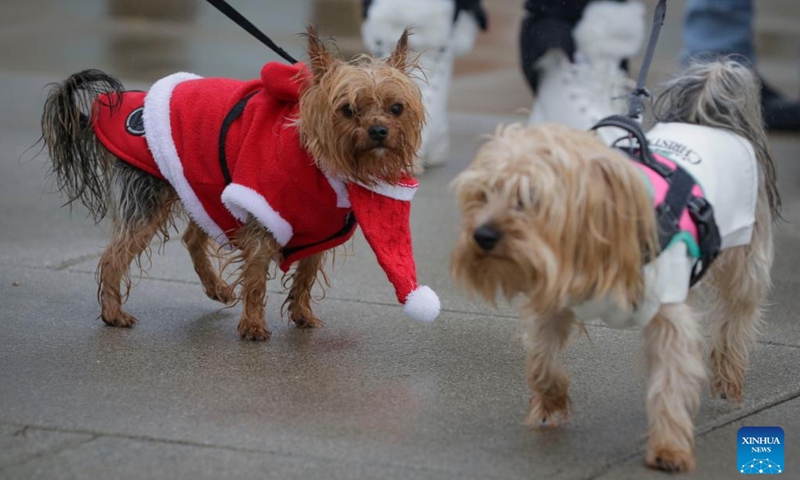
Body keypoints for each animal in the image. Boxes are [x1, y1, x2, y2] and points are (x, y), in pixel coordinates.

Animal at [39, 27, 424, 342]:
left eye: (396, 108)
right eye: (347, 110)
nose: (379, 131)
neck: (322, 164)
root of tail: (115, 110)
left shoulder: (318, 229)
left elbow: (305, 275)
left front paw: (301, 314)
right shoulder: (263, 216)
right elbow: (255, 277)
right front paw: (253, 325)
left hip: (202, 185)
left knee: (191, 238)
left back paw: (216, 288)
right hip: (152, 198)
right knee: (113, 257)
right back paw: (112, 313)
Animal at [454, 59, 780, 472]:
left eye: (531, 199)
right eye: (481, 195)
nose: (482, 235)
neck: (593, 249)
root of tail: (705, 118)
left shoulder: (667, 316)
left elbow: (669, 382)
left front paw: (669, 448)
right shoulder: (554, 300)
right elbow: (543, 361)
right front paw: (550, 404)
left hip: (745, 257)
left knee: (736, 315)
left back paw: (728, 373)